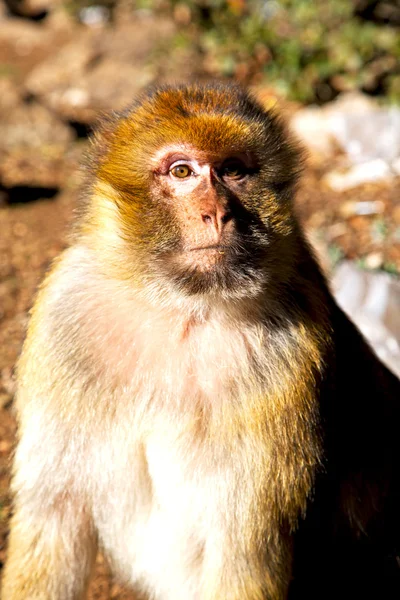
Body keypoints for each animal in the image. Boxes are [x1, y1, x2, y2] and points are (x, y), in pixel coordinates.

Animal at [0, 83, 400, 600]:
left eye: (233, 170)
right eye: (182, 172)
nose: (219, 213)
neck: (181, 310)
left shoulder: (291, 357)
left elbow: (243, 556)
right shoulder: (61, 321)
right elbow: (53, 519)